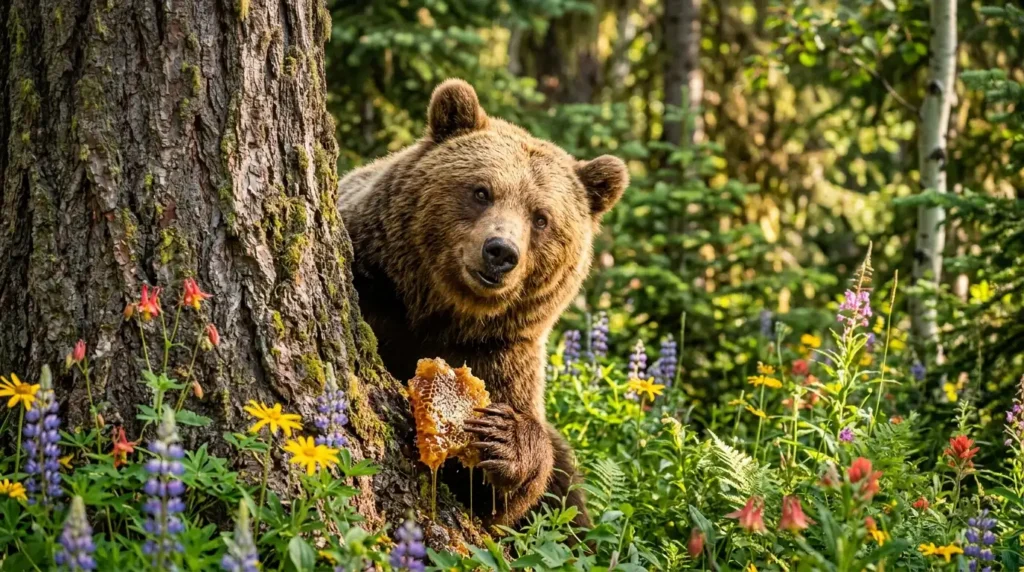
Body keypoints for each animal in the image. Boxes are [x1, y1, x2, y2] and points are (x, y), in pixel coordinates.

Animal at [337, 79, 629, 527]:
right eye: (481, 191)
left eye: (541, 218)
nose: (501, 252)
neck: (439, 312)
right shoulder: (372, 287)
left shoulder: (499, 351)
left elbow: (496, 498)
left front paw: (502, 437)